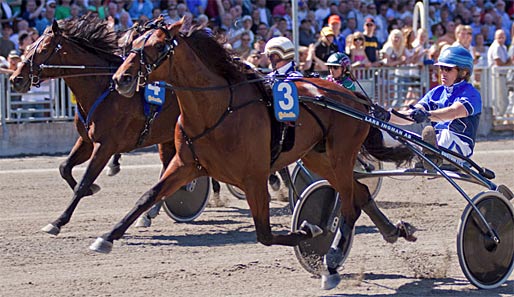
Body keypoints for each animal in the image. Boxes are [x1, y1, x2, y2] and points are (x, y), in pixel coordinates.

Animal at [9, 15, 219, 234]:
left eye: (42, 49)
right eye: (28, 46)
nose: (16, 79)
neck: (102, 88)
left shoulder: (105, 145)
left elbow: (83, 182)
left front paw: (58, 221)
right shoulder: (87, 140)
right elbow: (64, 167)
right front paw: (92, 190)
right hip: (168, 137)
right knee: (166, 169)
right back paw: (148, 214)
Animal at [100, 15, 412, 286]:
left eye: (157, 46)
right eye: (133, 43)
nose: (121, 78)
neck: (217, 110)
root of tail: (354, 97)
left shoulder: (254, 178)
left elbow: (265, 233)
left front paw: (310, 230)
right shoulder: (185, 165)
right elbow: (148, 196)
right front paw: (107, 236)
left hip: (341, 155)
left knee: (348, 203)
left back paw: (333, 258)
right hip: (319, 157)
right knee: (360, 192)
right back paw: (392, 231)